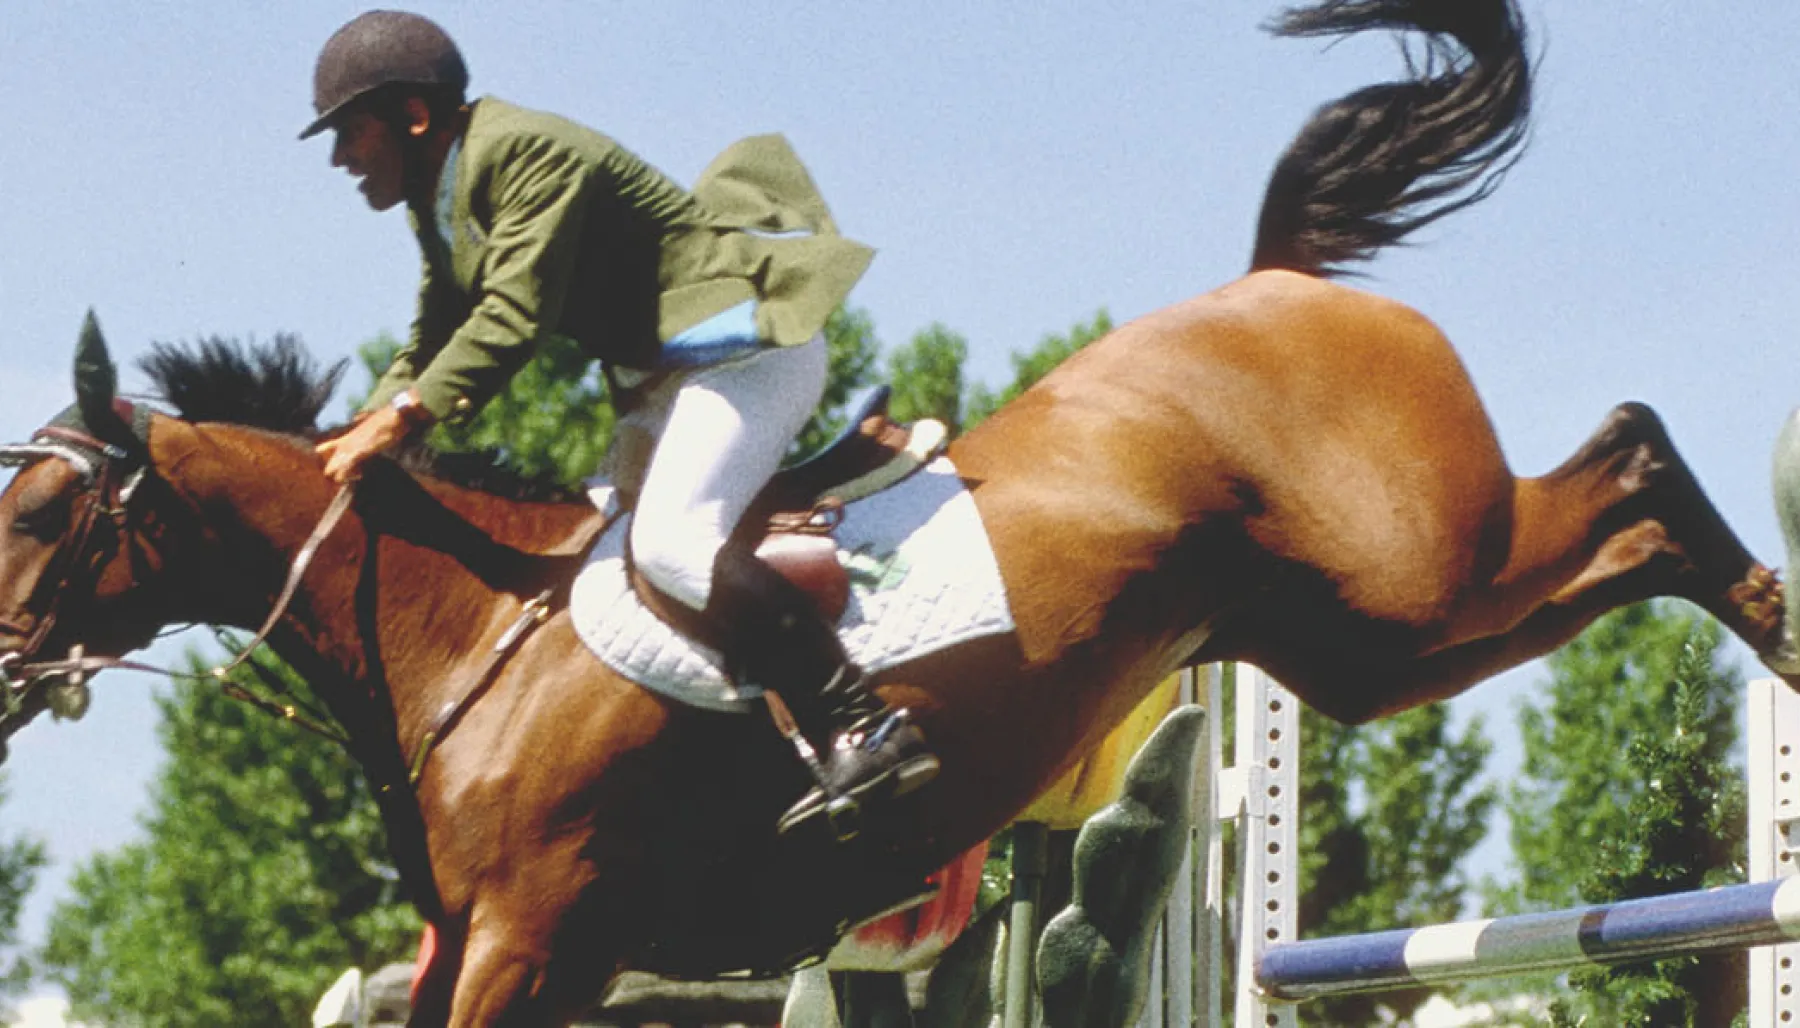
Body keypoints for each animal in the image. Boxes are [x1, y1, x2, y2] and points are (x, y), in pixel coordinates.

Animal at [3, 0, 1800, 1022]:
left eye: (34, 514)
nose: (6, 670)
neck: (463, 634)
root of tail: (1280, 282)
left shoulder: (531, 933)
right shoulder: (516, 947)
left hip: (1415, 574)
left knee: (1636, 462)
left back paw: (1778, 620)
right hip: (1350, 642)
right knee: (1607, 511)